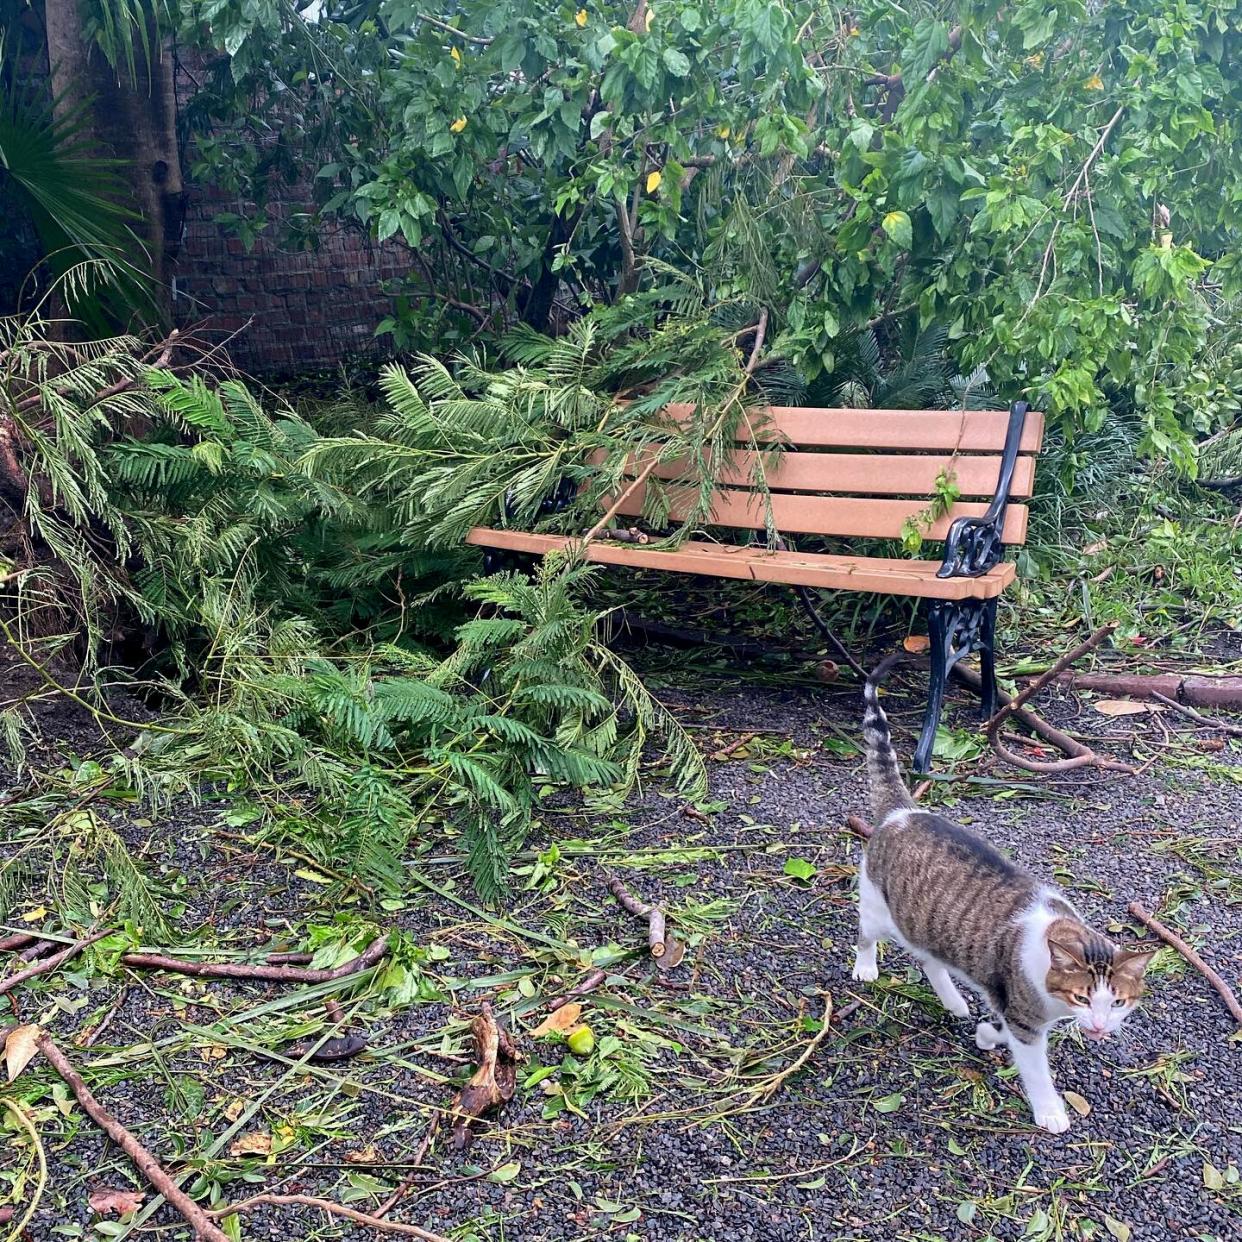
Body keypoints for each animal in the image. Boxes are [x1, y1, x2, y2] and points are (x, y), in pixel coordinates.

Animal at [854, 655, 1152, 1132]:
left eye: (1118, 1002)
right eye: (1083, 997)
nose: (1100, 1027)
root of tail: (904, 811)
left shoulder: (1009, 1000)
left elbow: (998, 1021)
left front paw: (986, 1034)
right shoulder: (1026, 1019)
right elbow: (1035, 1068)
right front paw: (1050, 1111)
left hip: (930, 924)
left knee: (929, 958)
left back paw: (954, 1002)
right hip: (879, 907)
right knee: (866, 933)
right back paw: (866, 967)